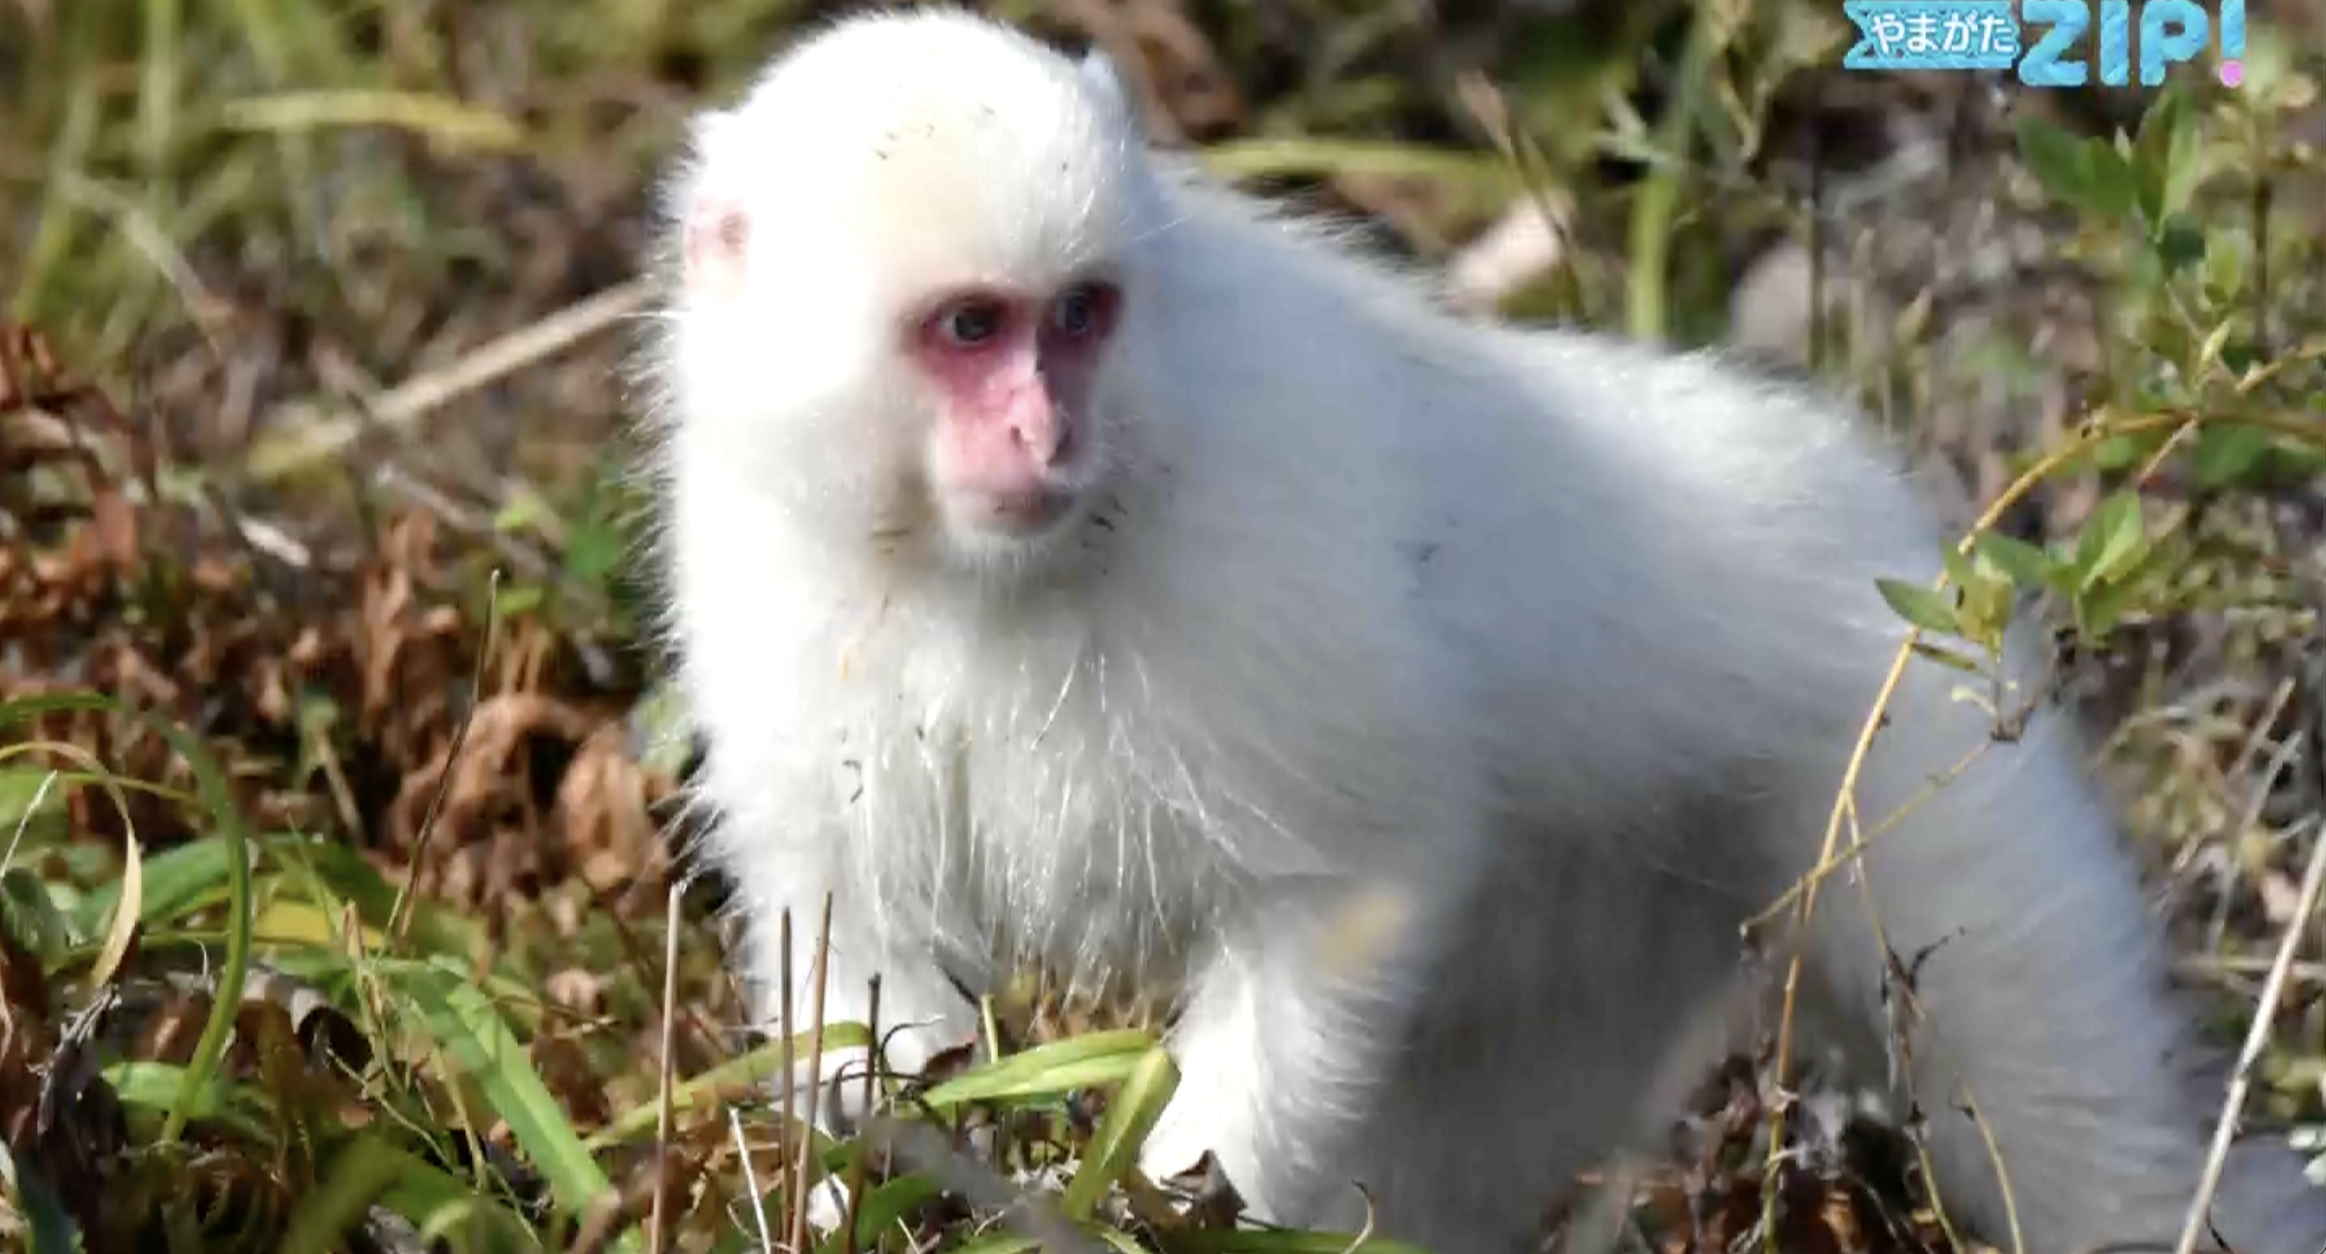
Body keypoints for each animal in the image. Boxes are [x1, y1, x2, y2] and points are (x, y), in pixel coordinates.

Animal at [634, 10, 2326, 1254]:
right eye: (971, 330)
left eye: (1080, 317)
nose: (1044, 436)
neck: (991, 566)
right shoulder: (771, 566)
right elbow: (857, 946)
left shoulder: (1256, 559)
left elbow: (1349, 889)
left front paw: (1155, 1217)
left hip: (1911, 749)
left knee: (2074, 1147)